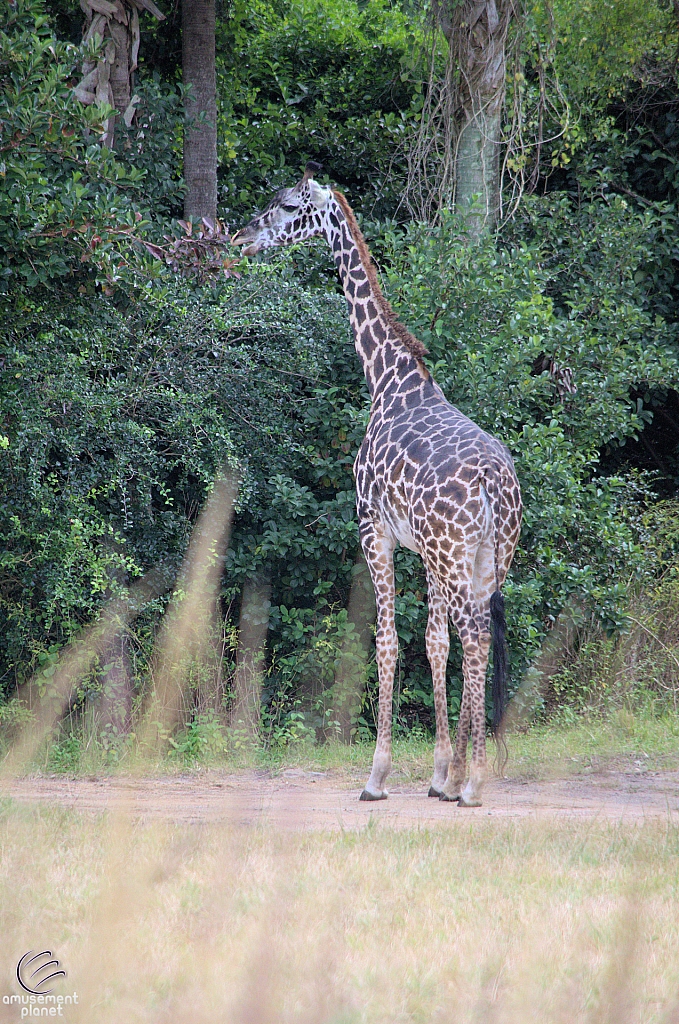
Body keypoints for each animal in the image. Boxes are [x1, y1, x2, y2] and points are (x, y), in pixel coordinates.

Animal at [231, 163, 522, 806]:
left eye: (285, 205)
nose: (241, 238)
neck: (387, 379)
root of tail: (496, 480)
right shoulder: (422, 550)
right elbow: (433, 644)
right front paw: (439, 773)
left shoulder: (374, 531)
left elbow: (386, 642)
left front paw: (378, 775)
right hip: (487, 556)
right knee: (477, 637)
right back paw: (468, 779)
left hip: (454, 552)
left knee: (475, 637)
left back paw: (475, 786)